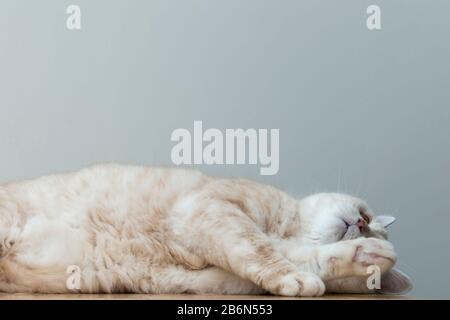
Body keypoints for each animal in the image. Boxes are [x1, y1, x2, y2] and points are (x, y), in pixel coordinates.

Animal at [0, 164, 412, 296]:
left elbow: (309, 262)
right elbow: (260, 250)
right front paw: (297, 279)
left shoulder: (223, 280)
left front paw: (367, 258)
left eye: (370, 231)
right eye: (366, 216)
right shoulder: (211, 212)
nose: (360, 225)